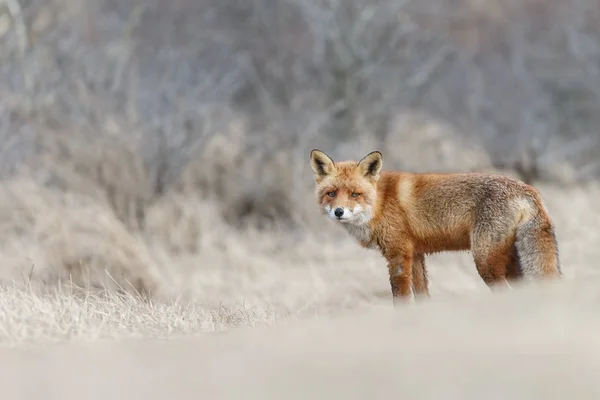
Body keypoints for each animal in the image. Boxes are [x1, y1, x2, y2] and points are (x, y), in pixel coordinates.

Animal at [310, 148, 564, 304]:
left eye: (355, 194)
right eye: (331, 193)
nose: (339, 212)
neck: (380, 204)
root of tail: (529, 190)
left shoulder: (398, 255)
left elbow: (400, 299)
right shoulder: (416, 255)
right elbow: (422, 296)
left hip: (486, 261)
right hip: (511, 262)